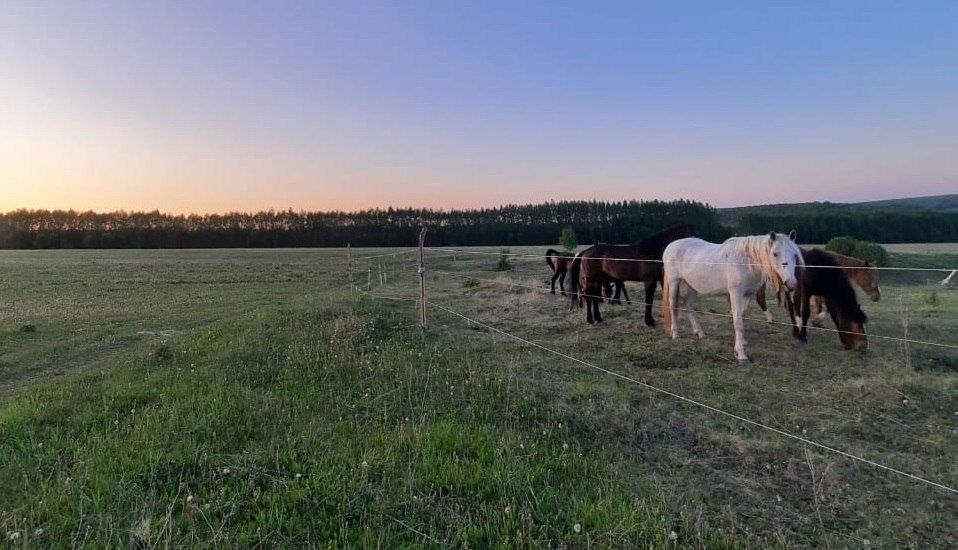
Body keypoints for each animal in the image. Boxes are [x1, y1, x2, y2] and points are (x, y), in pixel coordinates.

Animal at [568, 225, 696, 328]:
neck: (653, 250)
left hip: (598, 280)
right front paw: (649, 322)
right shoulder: (649, 281)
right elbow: (648, 300)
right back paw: (590, 319)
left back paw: (598, 318)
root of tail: (585, 251)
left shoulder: (660, 280)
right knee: (588, 296)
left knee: (594, 296)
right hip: (590, 278)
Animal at [664, 234, 808, 366]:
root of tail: (671, 245)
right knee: (673, 306)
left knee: (688, 307)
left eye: (795, 255)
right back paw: (675, 334)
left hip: (692, 286)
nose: (791, 283)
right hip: (674, 283)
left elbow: (742, 317)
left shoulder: (747, 295)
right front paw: (741, 354)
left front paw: (742, 342)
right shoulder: (735, 294)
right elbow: (738, 321)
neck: (746, 262)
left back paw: (699, 333)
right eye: (775, 253)